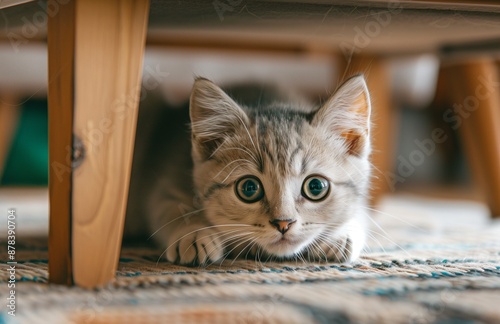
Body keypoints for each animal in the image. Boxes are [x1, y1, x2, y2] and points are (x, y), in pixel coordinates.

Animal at [129, 76, 372, 266]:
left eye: (316, 187)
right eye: (248, 188)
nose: (283, 223)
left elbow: (358, 211)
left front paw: (340, 234)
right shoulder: (167, 178)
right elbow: (168, 208)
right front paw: (194, 233)